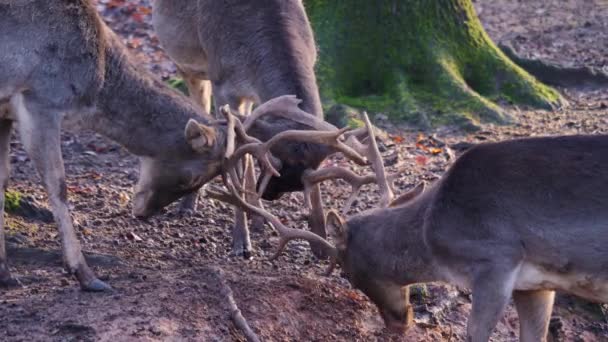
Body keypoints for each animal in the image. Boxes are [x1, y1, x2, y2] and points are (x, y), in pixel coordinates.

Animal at [152, 0, 328, 258]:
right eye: (278, 163)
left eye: (313, 176)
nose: (271, 194)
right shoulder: (224, 85)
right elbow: (236, 157)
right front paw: (241, 243)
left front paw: (321, 242)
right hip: (189, 65)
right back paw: (189, 203)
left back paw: (257, 216)